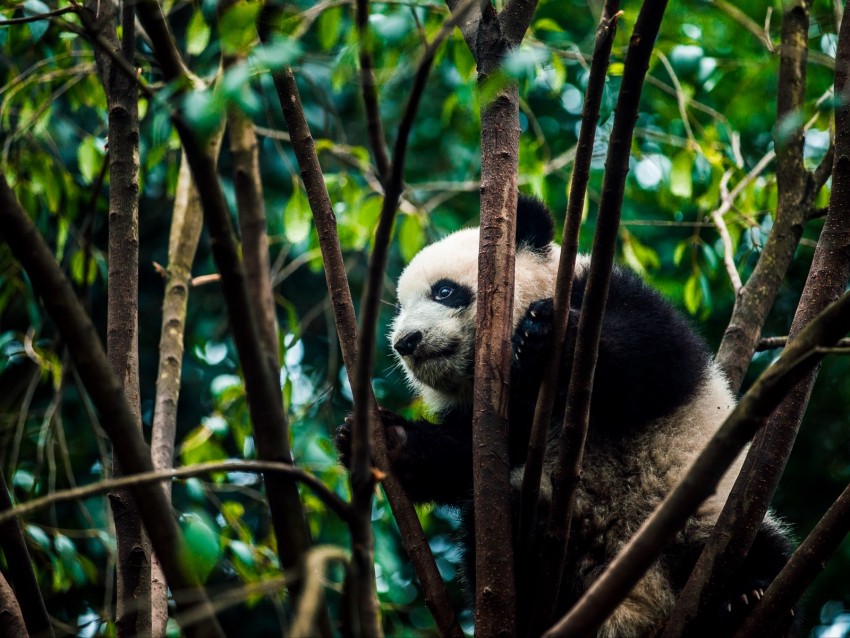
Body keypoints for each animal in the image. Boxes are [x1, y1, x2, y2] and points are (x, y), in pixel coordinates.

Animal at [334, 198, 792, 636]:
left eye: (444, 292)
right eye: (400, 306)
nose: (405, 342)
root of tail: (639, 605)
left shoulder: (609, 294)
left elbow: (648, 361)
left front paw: (549, 336)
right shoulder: (495, 412)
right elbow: (463, 457)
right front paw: (384, 438)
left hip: (704, 519)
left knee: (755, 550)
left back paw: (744, 599)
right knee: (503, 520)